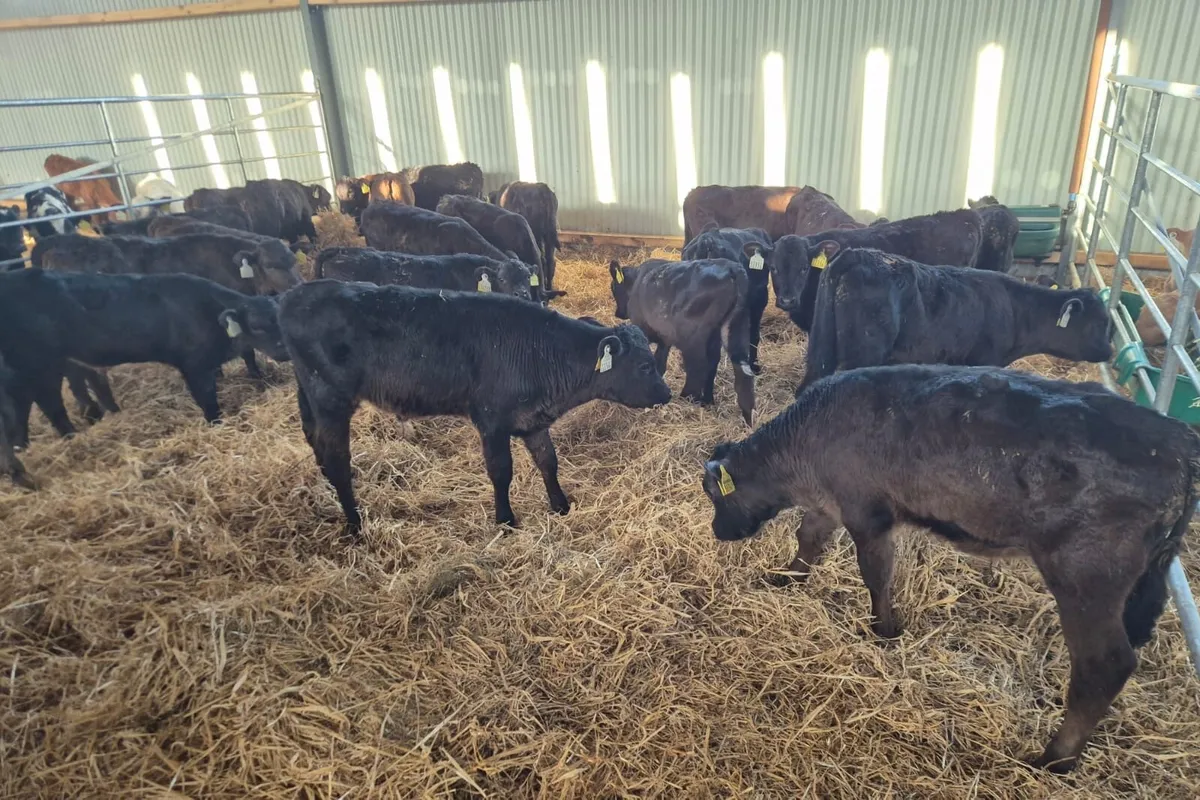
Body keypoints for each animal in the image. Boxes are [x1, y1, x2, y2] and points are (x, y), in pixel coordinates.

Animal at [0, 268, 289, 438]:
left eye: (282, 320)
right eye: (256, 325)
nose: (285, 350)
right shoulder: (193, 365)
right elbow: (207, 401)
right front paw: (216, 426)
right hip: (38, 363)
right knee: (49, 402)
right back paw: (71, 436)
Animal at [279, 280, 671, 537]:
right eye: (645, 366)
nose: (667, 393)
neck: (541, 353)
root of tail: (296, 295)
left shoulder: (533, 420)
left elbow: (548, 461)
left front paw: (560, 506)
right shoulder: (491, 421)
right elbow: (501, 471)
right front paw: (506, 520)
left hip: (311, 398)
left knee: (316, 443)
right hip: (331, 399)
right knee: (337, 458)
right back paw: (355, 523)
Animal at [609, 258, 755, 424]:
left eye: (613, 287)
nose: (618, 313)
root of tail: (732, 268)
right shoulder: (665, 337)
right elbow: (660, 364)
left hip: (693, 337)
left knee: (698, 367)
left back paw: (687, 398)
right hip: (734, 326)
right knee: (738, 368)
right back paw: (739, 414)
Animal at [701, 363, 1199, 771]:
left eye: (716, 494)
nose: (717, 532)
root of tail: (1177, 441)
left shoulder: (868, 513)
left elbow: (875, 573)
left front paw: (884, 631)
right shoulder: (831, 502)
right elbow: (808, 537)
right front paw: (786, 577)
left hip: (1085, 576)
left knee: (1105, 664)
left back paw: (1054, 759)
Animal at [800, 247, 1113, 390]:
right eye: (1099, 322)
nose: (1110, 351)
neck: (1016, 310)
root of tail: (855, 254)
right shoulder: (984, 360)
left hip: (821, 346)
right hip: (863, 352)